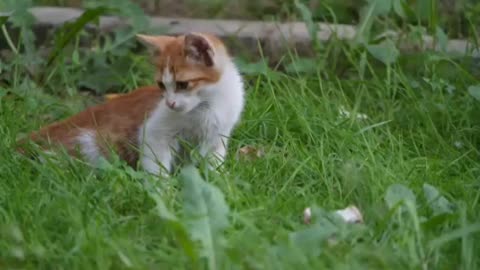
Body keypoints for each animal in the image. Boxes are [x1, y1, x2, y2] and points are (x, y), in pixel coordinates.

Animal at [19, 32, 244, 176]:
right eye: (161, 84)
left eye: (182, 84)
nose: (170, 103)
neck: (210, 104)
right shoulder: (153, 133)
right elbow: (157, 165)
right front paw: (163, 192)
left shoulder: (218, 138)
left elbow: (213, 164)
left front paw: (217, 181)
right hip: (89, 143)